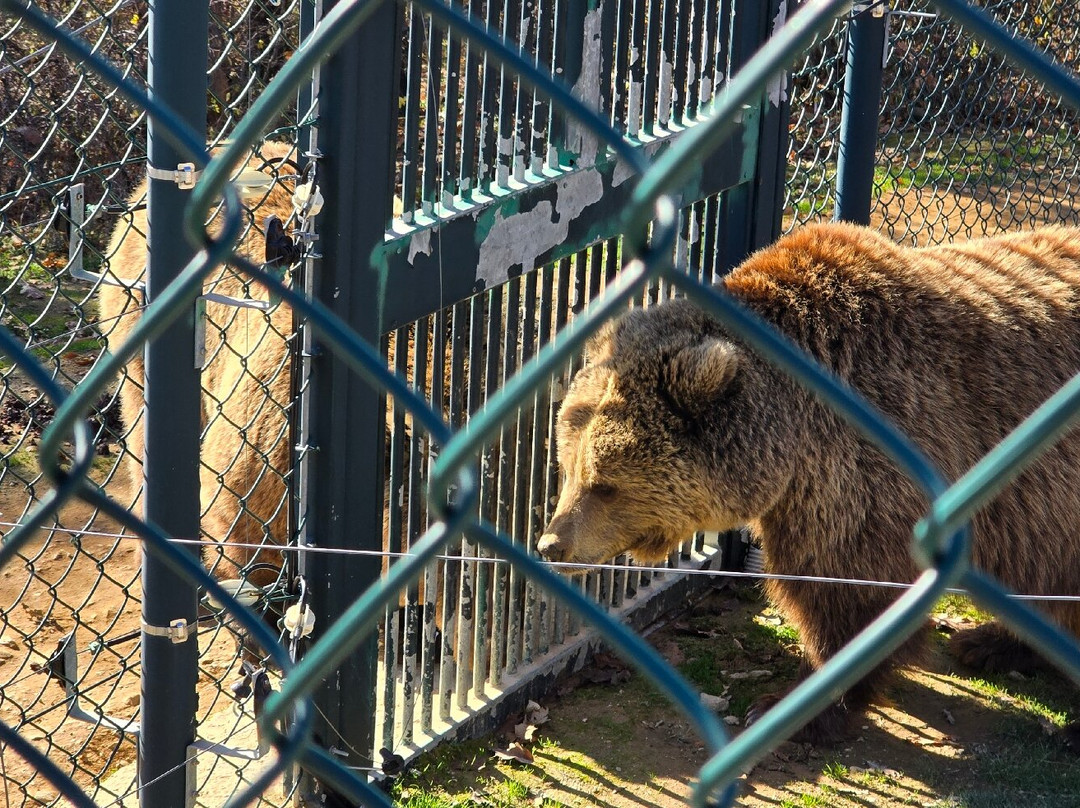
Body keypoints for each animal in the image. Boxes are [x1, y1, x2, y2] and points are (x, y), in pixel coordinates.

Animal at [537, 220, 1080, 745]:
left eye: (605, 484)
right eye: (569, 466)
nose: (551, 545)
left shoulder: (871, 471)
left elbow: (847, 598)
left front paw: (796, 710)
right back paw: (992, 643)